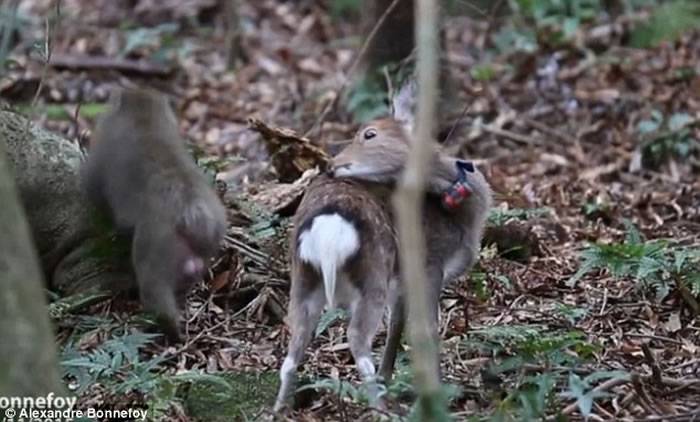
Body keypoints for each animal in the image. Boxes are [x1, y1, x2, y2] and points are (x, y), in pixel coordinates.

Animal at [276, 173, 402, 410]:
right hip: (373, 284)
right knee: (358, 341)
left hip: (302, 284)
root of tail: (329, 236)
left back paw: (278, 409)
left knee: (292, 352)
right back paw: (380, 408)